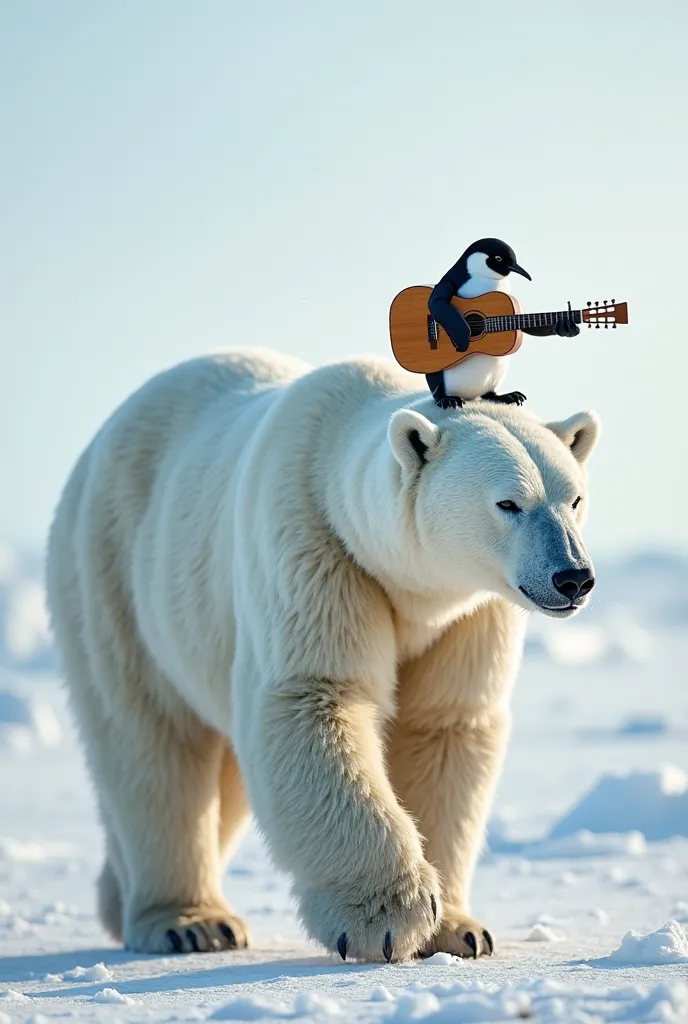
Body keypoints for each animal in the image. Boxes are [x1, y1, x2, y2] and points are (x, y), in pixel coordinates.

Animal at [45, 348, 597, 962]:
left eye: (574, 498)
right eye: (508, 502)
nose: (573, 577)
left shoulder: (467, 614)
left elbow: (444, 726)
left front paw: (459, 930)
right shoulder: (313, 545)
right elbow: (313, 699)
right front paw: (387, 918)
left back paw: (125, 899)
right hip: (115, 573)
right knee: (152, 741)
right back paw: (189, 922)